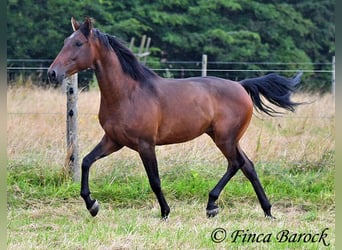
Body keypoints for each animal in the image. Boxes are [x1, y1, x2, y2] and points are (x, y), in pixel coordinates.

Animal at [48, 17, 302, 220]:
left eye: (78, 43)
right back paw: (266, 210)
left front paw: (165, 212)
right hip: (226, 138)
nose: (52, 73)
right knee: (247, 165)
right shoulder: (114, 140)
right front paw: (92, 205)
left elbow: (155, 181)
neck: (128, 93)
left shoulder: (145, 144)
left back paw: (212, 205)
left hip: (225, 139)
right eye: (65, 42)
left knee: (236, 163)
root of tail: (241, 86)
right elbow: (86, 161)